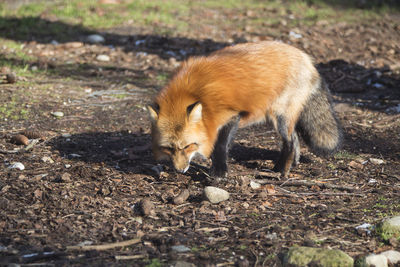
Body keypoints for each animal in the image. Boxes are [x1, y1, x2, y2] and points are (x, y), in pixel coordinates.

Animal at [148, 42, 342, 179]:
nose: (180, 171)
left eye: (188, 146)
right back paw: (292, 164)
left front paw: (219, 172)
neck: (196, 93)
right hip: (275, 117)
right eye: (168, 148)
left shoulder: (231, 116)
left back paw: (280, 171)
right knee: (294, 139)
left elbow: (220, 145)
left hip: (280, 116)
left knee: (289, 143)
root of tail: (307, 59)